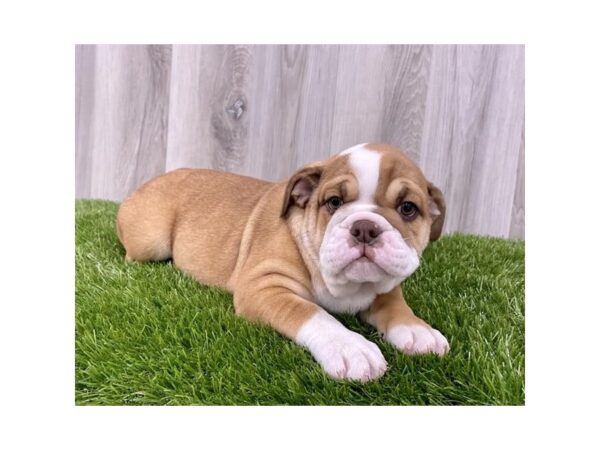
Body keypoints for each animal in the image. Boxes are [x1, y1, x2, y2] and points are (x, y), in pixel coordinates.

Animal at [117, 142, 448, 382]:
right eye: (334, 202)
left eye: (408, 208)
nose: (365, 227)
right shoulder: (263, 286)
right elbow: (311, 312)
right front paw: (350, 347)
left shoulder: (385, 286)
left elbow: (394, 303)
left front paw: (418, 329)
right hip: (150, 242)